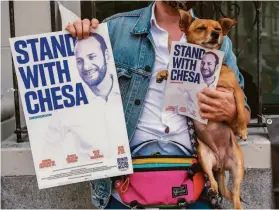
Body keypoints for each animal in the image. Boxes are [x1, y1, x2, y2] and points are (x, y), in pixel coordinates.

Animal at [158, 11, 247, 210]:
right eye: (201, 28)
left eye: (218, 29)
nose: (215, 34)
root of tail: (221, 165)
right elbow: (175, 75)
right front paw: (163, 73)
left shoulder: (235, 93)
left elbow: (240, 110)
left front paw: (242, 129)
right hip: (205, 158)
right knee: (214, 182)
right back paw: (213, 189)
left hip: (238, 167)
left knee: (236, 195)